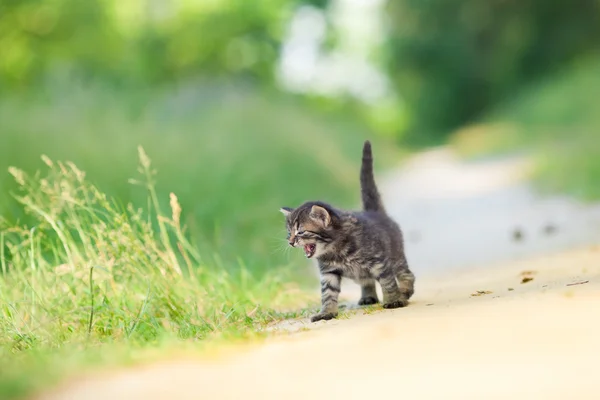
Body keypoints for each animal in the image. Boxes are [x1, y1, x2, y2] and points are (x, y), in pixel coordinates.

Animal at [280, 141, 412, 322]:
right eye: (289, 233)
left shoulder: (379, 262)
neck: (335, 249)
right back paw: (368, 296)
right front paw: (327, 312)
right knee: (367, 280)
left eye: (300, 232)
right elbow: (328, 293)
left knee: (406, 274)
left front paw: (393, 300)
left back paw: (405, 291)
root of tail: (374, 212)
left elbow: (388, 282)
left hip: (396, 255)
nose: (291, 242)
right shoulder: (328, 273)